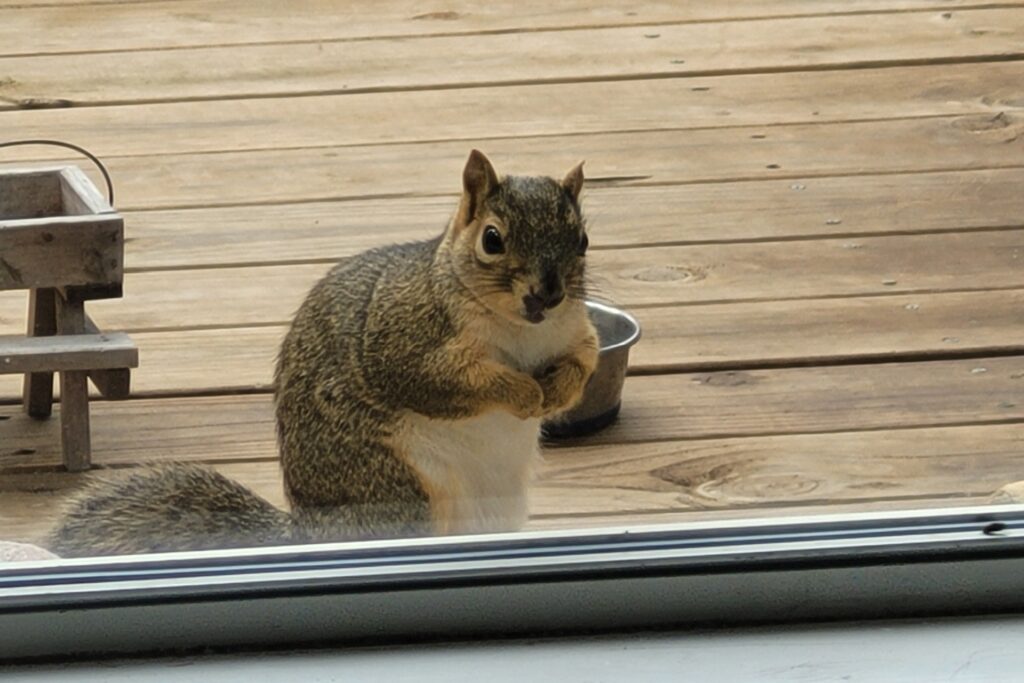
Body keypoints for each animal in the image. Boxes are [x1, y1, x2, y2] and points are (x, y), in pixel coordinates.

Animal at [48, 150, 599, 557]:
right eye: (492, 239)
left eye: (583, 240)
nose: (548, 294)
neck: (521, 330)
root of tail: (312, 534)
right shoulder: (404, 339)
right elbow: (446, 382)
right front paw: (524, 393)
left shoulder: (575, 330)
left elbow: (585, 360)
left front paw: (558, 391)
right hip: (397, 490)